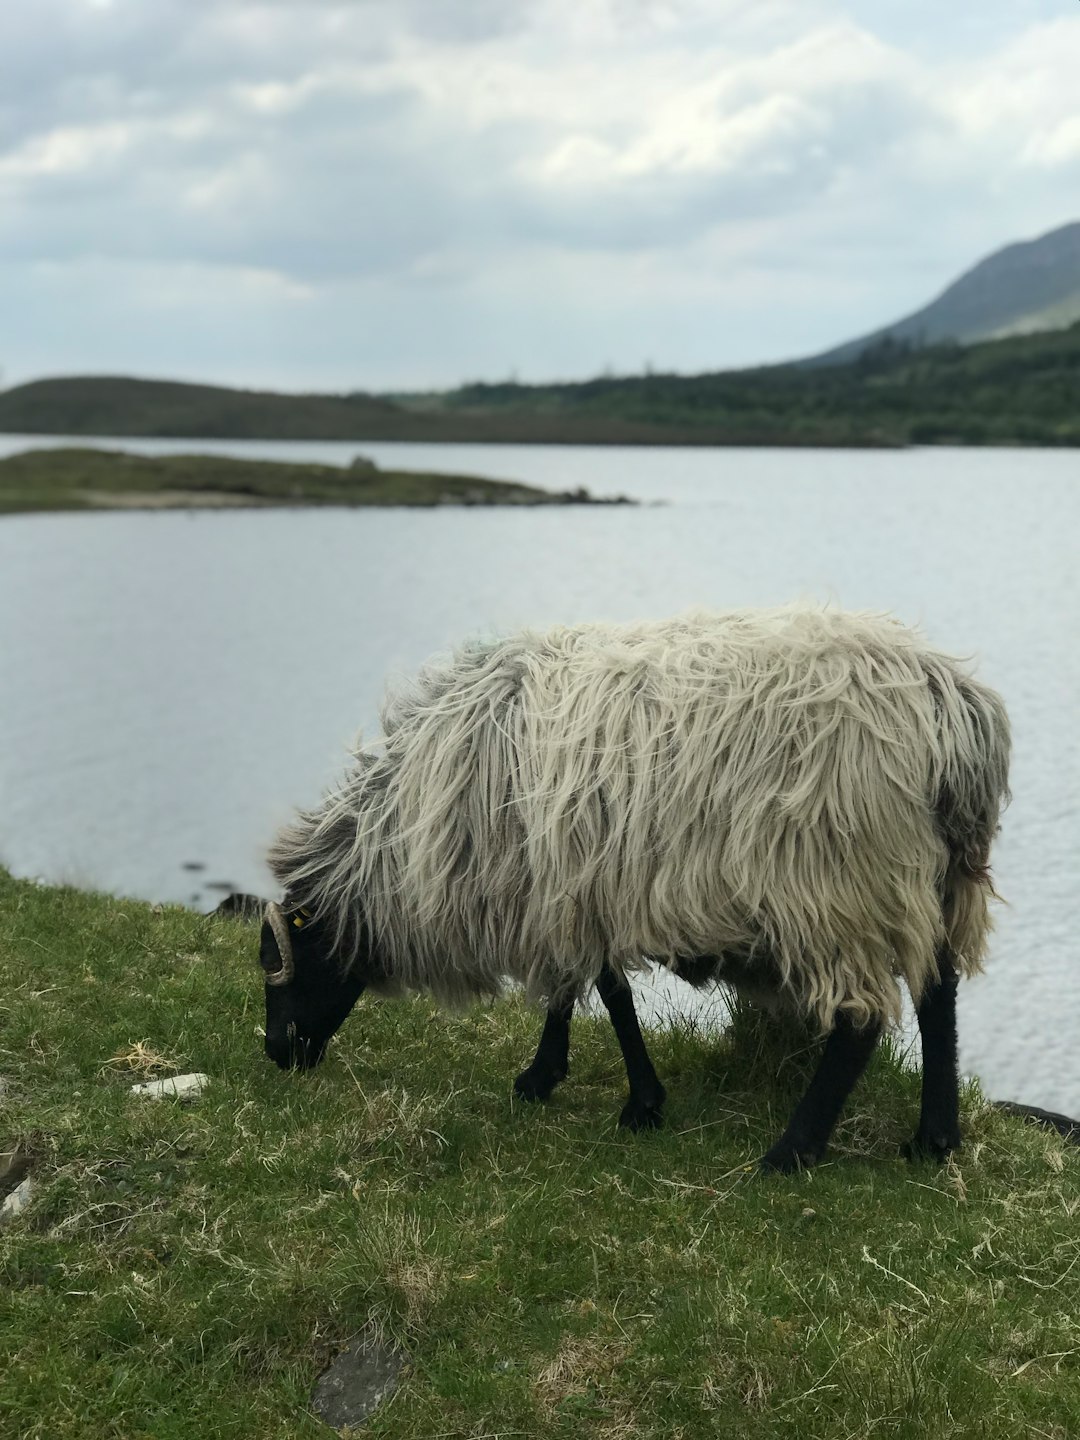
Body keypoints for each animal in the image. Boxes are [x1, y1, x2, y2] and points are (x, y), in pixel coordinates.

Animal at [257, 607, 1013, 1169]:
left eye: (288, 961)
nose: (276, 1054)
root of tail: (954, 712)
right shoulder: (574, 889)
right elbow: (583, 990)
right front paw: (552, 1078)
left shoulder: (567, 889)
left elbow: (605, 995)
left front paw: (629, 1099)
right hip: (934, 883)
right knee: (938, 995)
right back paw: (934, 1139)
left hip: (840, 887)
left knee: (860, 1021)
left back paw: (791, 1152)